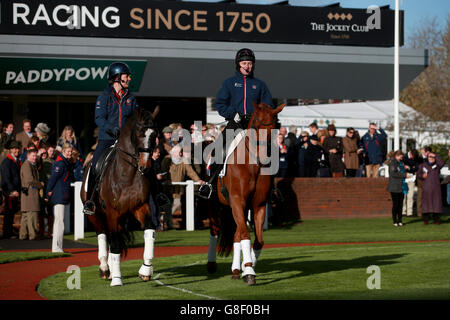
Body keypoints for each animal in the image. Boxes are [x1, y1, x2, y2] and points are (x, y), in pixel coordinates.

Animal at [81, 106, 158, 286]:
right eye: (139, 134)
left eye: (154, 135)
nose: (145, 167)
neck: (126, 174)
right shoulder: (111, 212)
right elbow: (114, 243)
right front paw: (117, 279)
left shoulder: (140, 207)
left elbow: (149, 231)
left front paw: (145, 270)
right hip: (96, 216)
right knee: (103, 235)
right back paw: (105, 269)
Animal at [207, 101, 284, 284]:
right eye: (256, 125)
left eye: (274, 126)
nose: (264, 157)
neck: (252, 164)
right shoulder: (237, 201)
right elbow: (245, 235)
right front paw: (248, 270)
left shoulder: (258, 205)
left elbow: (258, 241)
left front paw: (246, 267)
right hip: (216, 205)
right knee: (215, 231)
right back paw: (212, 264)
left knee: (235, 235)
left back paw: (236, 269)